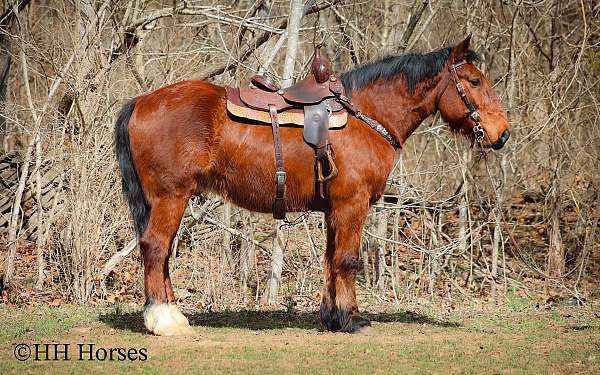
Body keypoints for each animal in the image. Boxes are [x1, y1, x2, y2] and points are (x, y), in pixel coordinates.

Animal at [115, 36, 508, 336]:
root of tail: (141, 101)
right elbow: (348, 260)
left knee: (162, 252)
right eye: (474, 81)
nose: (502, 133)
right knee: (155, 247)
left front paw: (332, 317)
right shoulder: (352, 205)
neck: (365, 116)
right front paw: (352, 319)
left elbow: (331, 260)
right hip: (171, 197)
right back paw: (164, 320)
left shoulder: (335, 209)